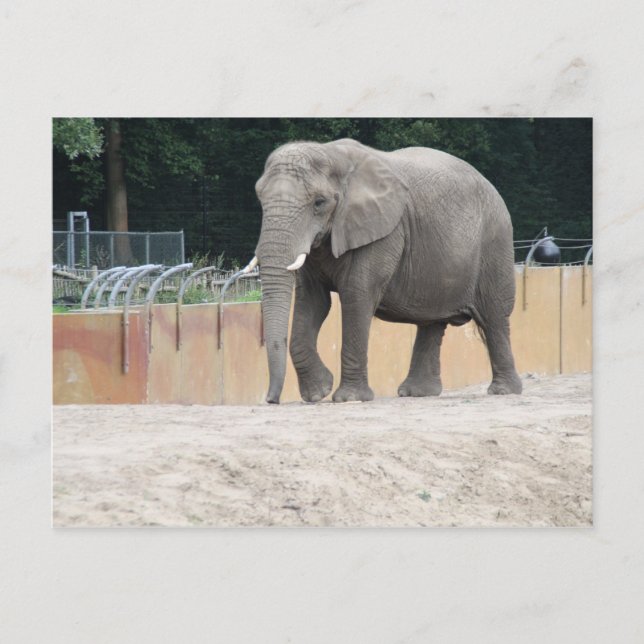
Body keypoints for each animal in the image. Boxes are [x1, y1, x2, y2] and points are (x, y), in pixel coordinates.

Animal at [245, 138, 523, 404]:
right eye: (260, 199)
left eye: (319, 203)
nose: (271, 399)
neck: (332, 154)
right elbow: (313, 301)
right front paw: (317, 393)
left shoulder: (383, 232)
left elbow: (356, 295)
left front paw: (349, 398)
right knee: (432, 321)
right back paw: (417, 393)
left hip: (495, 242)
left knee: (494, 317)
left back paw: (503, 391)